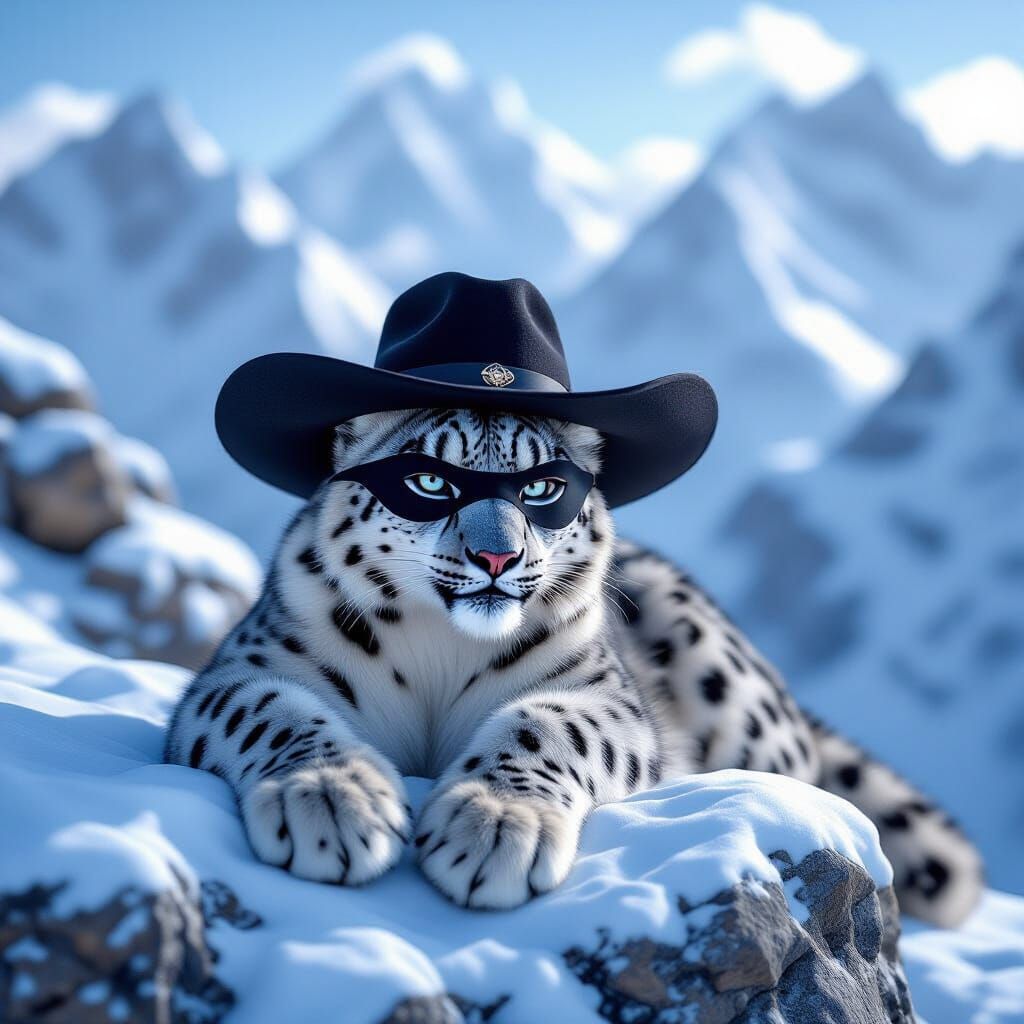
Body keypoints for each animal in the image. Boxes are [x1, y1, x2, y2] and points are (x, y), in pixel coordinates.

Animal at [165, 407, 982, 926]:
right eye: (431, 481)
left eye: (541, 487)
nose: (497, 557)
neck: (439, 657)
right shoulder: (240, 672)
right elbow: (275, 713)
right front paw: (335, 801)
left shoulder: (602, 695)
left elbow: (545, 726)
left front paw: (494, 826)